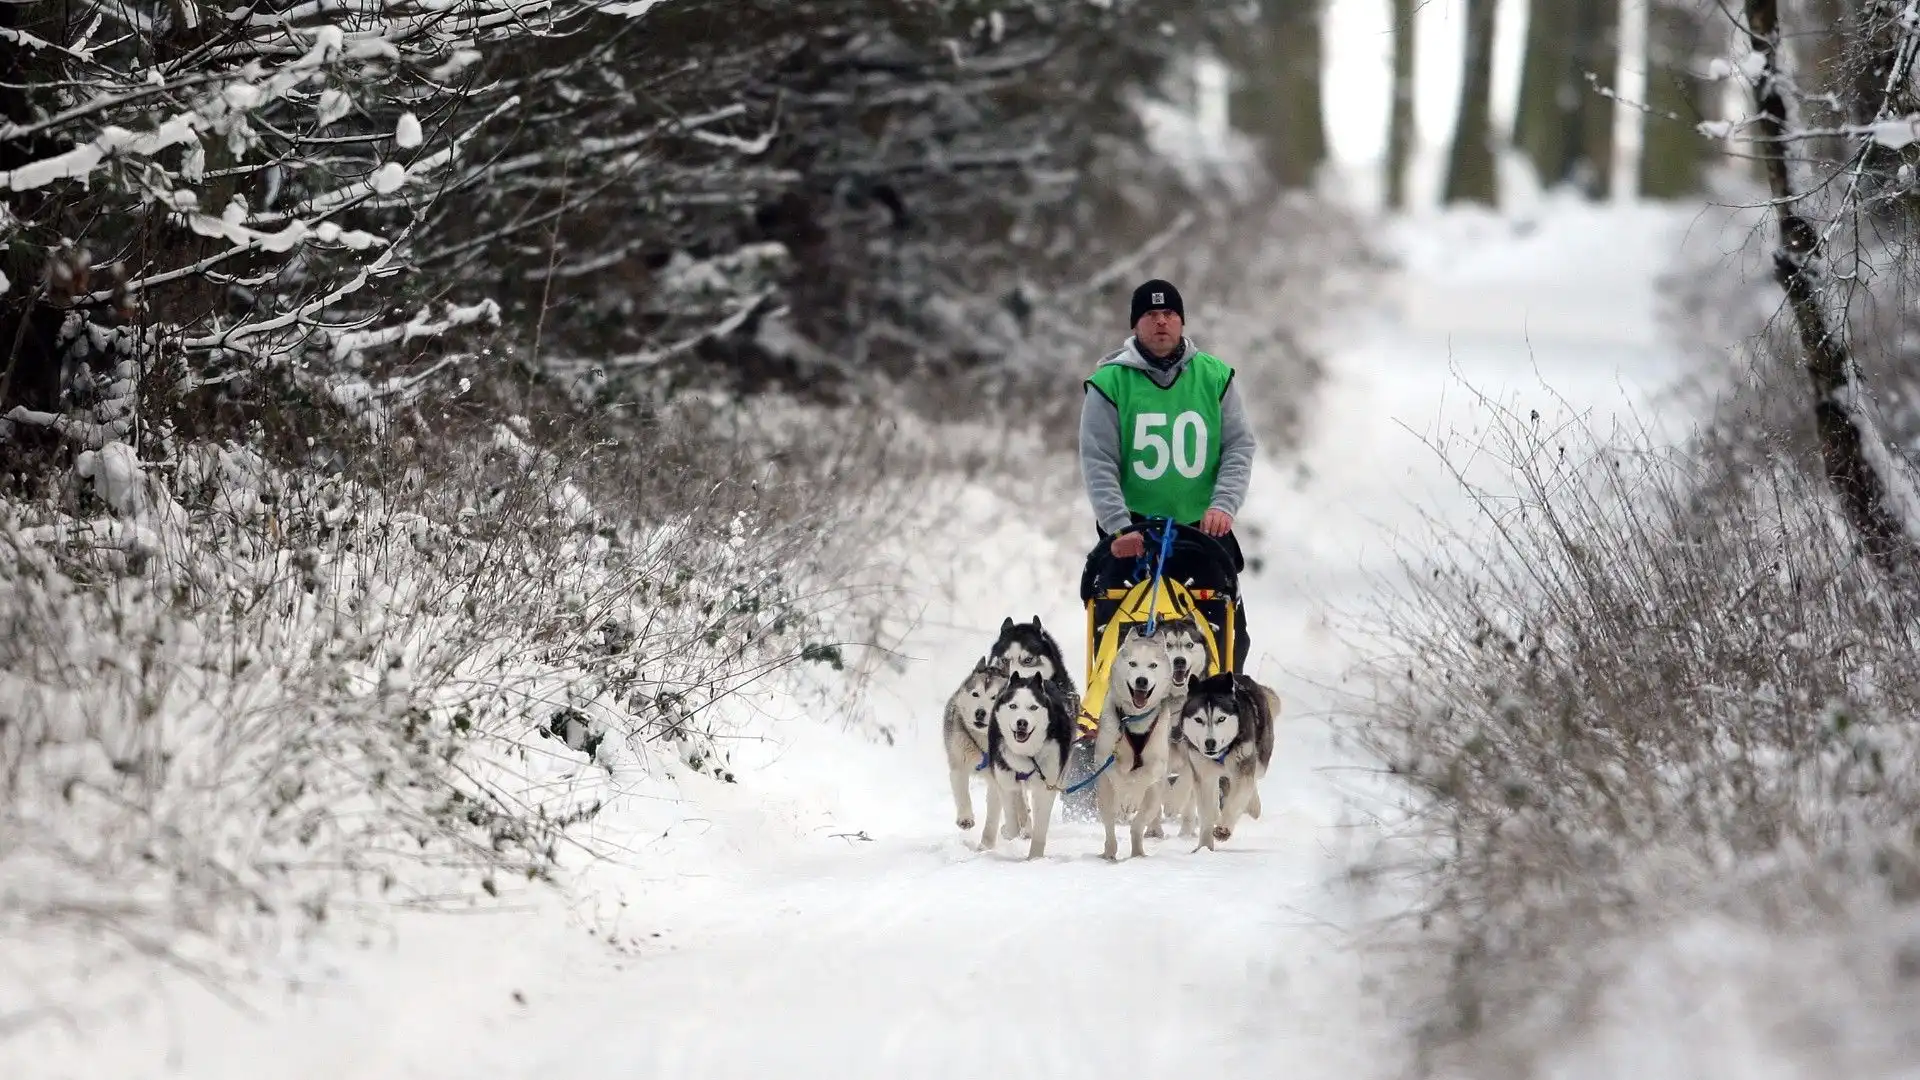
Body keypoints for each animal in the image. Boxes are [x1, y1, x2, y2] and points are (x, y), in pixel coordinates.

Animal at [948, 645, 1021, 834]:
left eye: (994, 697)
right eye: (975, 694)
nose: (980, 712)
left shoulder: (998, 779)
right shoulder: (958, 764)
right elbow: (962, 793)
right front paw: (965, 818)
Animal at [983, 672, 1075, 857]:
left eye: (1033, 707)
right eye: (1013, 706)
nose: (1022, 722)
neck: (1027, 753)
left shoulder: (1046, 787)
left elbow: (1040, 829)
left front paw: (1035, 858)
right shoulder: (1006, 782)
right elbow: (1012, 824)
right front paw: (1009, 829)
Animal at [1098, 622, 1182, 857]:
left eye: (1153, 665)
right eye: (1133, 664)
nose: (1141, 681)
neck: (1134, 719)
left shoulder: (1157, 763)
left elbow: (1142, 775)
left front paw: (1131, 797)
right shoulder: (1104, 756)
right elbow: (1118, 773)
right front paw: (1124, 798)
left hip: (1153, 800)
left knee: (1138, 826)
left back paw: (1138, 854)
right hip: (1104, 796)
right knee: (1110, 827)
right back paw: (1110, 851)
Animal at [1159, 668, 1282, 845]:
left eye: (1221, 718)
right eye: (1198, 719)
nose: (1210, 743)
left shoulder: (1242, 769)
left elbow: (1236, 800)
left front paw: (1223, 829)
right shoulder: (1202, 772)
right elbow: (1206, 811)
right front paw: (1204, 846)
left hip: (1259, 762)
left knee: (1252, 781)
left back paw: (1252, 806)